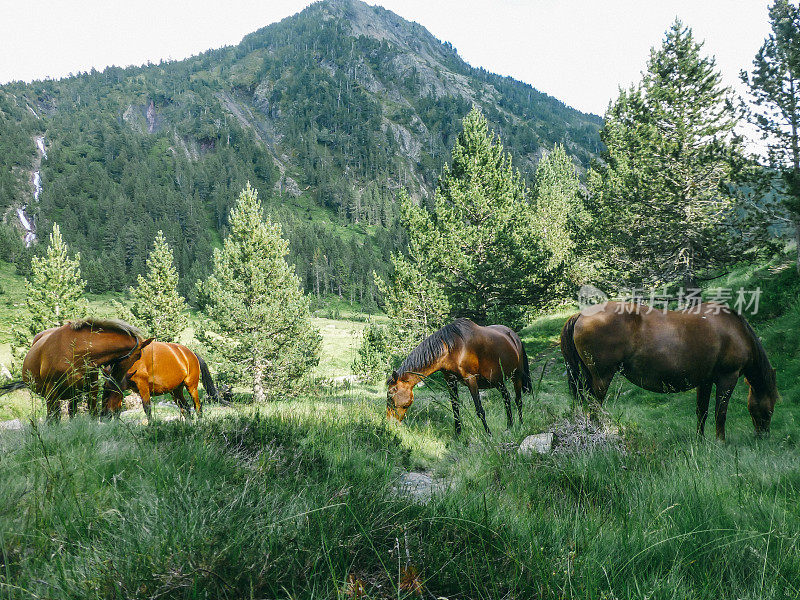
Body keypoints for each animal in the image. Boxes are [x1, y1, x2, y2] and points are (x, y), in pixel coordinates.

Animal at [0, 318, 152, 422]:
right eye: (138, 356)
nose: (115, 381)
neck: (74, 350)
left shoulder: (91, 389)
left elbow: (92, 413)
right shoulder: (52, 391)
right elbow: (54, 419)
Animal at [388, 322, 532, 434]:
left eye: (390, 396)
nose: (390, 423)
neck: (453, 348)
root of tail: (514, 337)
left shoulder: (471, 380)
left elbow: (480, 410)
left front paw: (488, 434)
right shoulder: (450, 381)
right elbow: (455, 409)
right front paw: (458, 435)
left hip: (516, 376)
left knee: (518, 400)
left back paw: (521, 424)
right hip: (498, 381)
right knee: (506, 398)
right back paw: (510, 425)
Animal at [560, 302, 780, 438]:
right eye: (770, 408)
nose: (763, 436)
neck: (735, 331)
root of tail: (581, 315)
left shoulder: (704, 381)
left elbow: (702, 412)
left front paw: (701, 441)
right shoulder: (727, 378)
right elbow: (720, 413)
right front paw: (721, 441)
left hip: (589, 378)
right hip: (602, 378)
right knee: (595, 408)